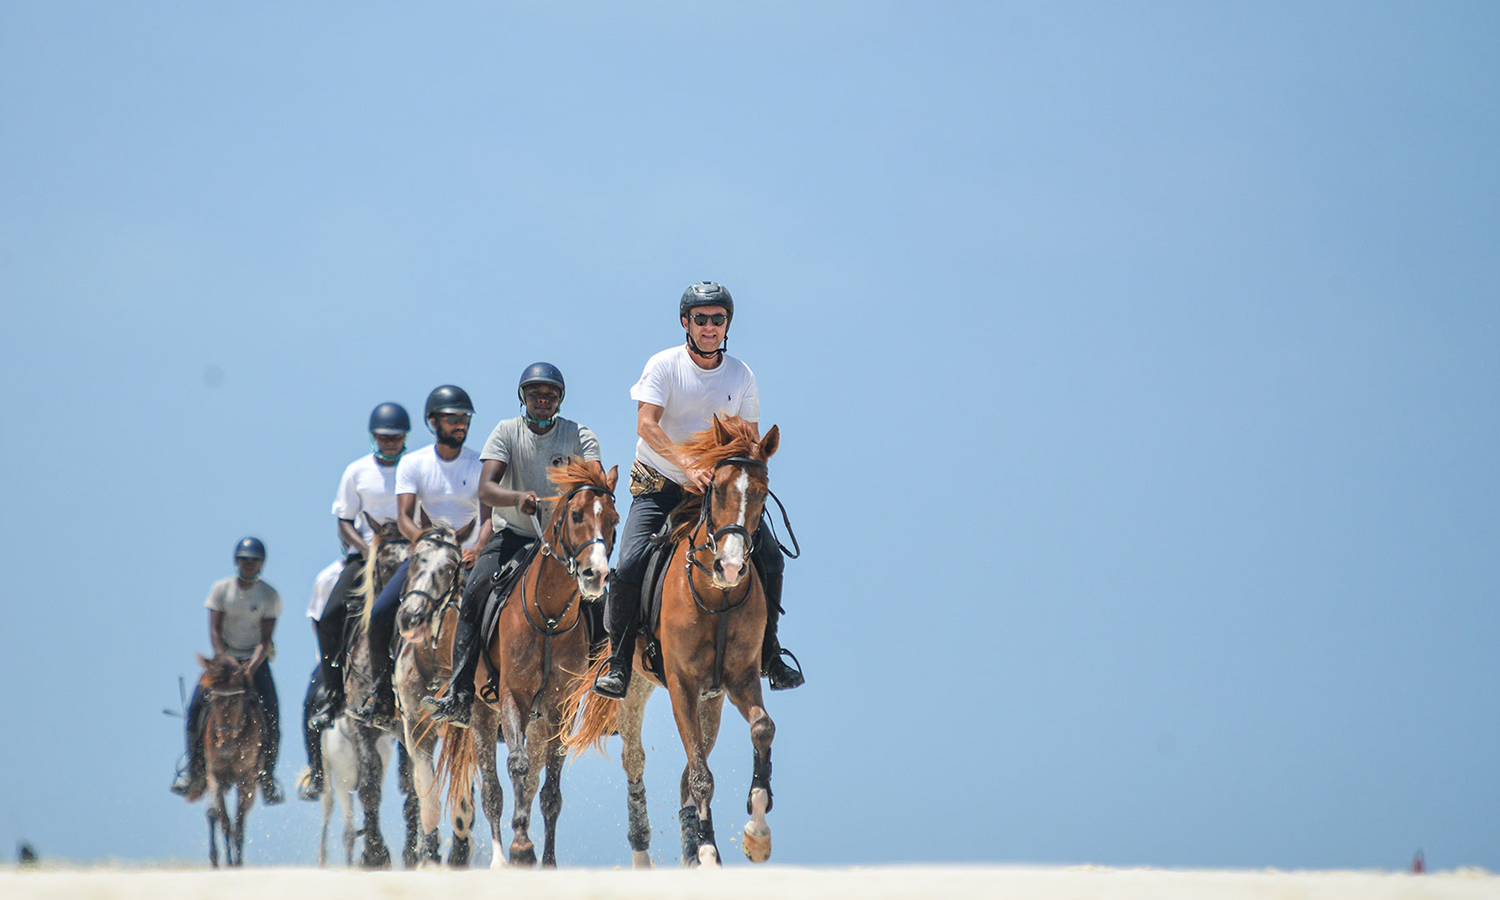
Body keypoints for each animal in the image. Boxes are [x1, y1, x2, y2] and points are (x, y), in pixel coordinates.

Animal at [196, 651, 264, 870]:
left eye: (238, 699)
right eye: (212, 698)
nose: (224, 744)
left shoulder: (246, 779)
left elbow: (238, 822)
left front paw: (238, 861)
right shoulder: (215, 776)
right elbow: (223, 820)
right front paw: (225, 861)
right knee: (214, 815)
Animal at [438, 462, 621, 870]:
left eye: (615, 520)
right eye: (576, 515)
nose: (596, 575)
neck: (548, 616)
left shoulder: (559, 710)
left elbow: (549, 791)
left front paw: (547, 861)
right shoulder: (513, 696)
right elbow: (517, 769)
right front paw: (521, 846)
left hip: (537, 723)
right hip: (482, 715)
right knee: (492, 791)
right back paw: (499, 859)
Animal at [564, 417, 786, 870]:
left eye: (760, 492)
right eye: (716, 489)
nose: (730, 566)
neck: (716, 596)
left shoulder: (739, 679)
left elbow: (761, 729)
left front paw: (756, 833)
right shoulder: (682, 685)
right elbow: (701, 778)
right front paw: (710, 850)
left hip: (711, 701)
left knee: (691, 761)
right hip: (635, 688)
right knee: (637, 760)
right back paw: (644, 856)